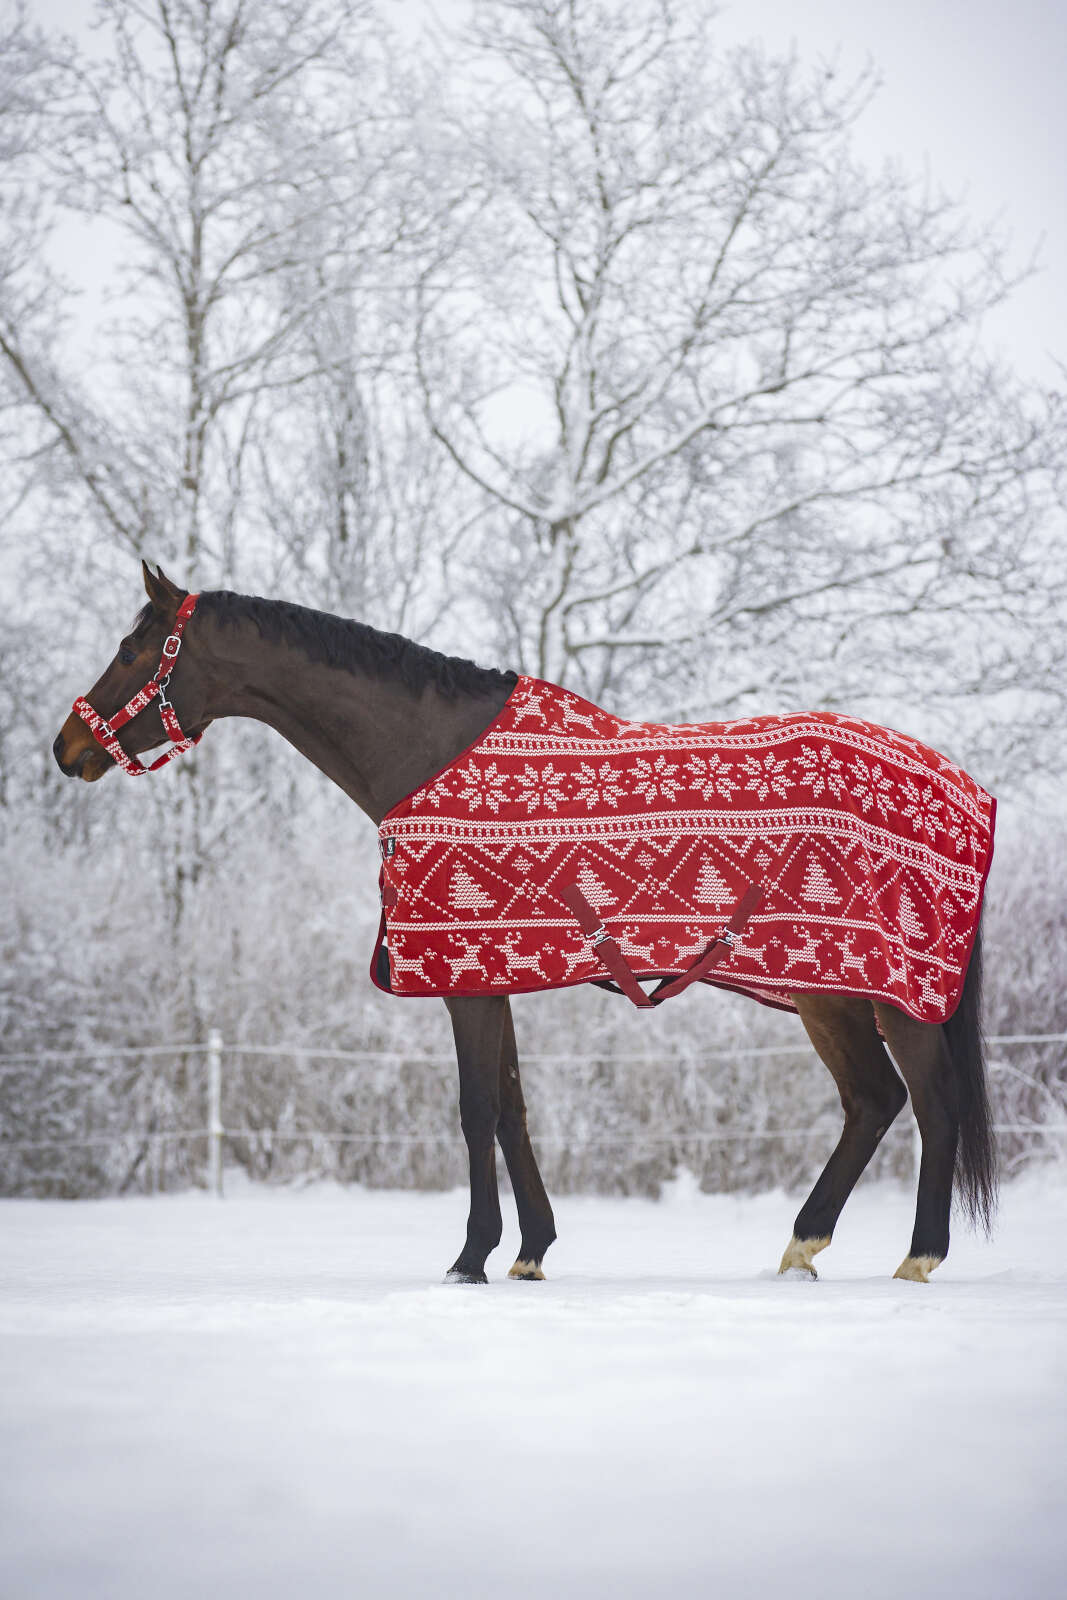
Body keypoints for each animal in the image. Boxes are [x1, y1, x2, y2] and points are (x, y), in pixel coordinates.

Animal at [53, 563, 998, 1285]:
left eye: (133, 648)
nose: (67, 748)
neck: (430, 753)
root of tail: (964, 788)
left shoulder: (463, 979)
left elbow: (476, 1109)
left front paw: (469, 1257)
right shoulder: (488, 974)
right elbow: (511, 1108)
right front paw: (530, 1250)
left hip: (895, 995)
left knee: (930, 1103)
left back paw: (916, 1258)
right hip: (826, 995)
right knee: (872, 1103)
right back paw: (802, 1245)